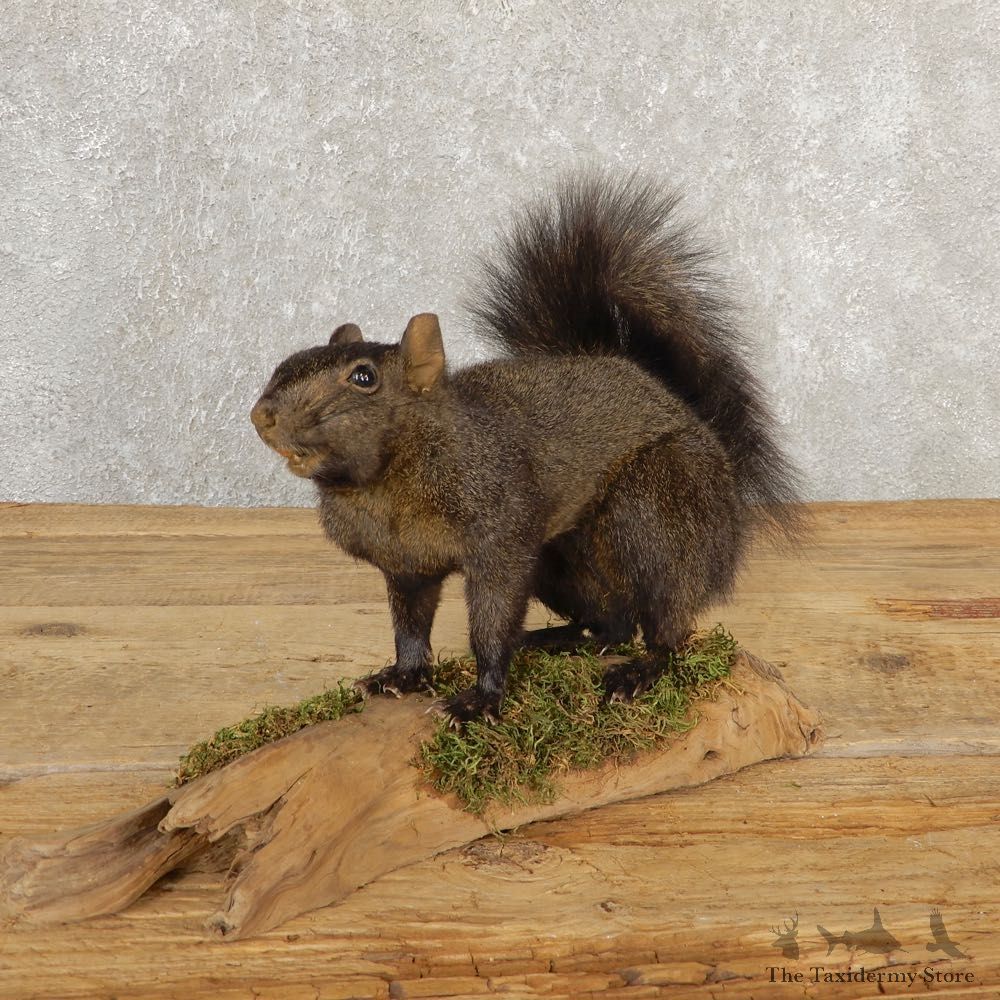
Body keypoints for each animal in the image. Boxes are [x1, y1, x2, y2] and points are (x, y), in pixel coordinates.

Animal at [250, 173, 803, 724]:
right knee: (616, 623)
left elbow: (490, 623)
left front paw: (482, 698)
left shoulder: (501, 536)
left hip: (656, 512)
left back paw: (639, 671)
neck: (383, 485)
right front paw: (402, 676)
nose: (261, 415)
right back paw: (556, 640)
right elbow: (409, 625)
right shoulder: (405, 565)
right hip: (562, 563)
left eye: (363, 377)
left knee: (668, 621)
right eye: (290, 359)